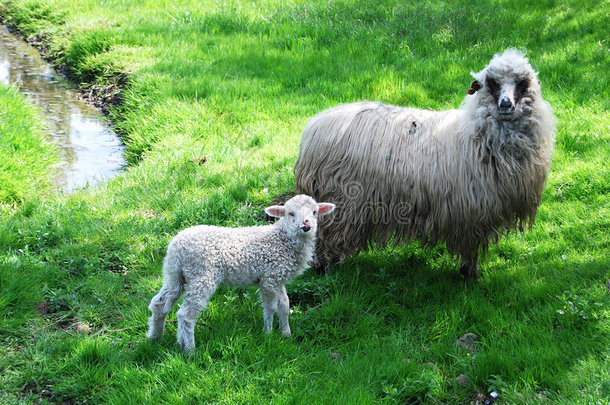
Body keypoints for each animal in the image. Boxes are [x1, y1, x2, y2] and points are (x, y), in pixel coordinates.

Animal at [148, 194, 338, 352]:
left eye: (314, 212)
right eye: (290, 213)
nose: (306, 225)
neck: (282, 238)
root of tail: (176, 245)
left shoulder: (278, 277)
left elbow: (284, 304)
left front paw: (286, 333)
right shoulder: (269, 279)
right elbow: (270, 307)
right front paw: (268, 333)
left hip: (175, 274)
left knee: (160, 303)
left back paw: (156, 337)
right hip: (201, 275)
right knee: (185, 314)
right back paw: (190, 349)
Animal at [292, 49, 552, 278]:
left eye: (523, 83)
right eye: (492, 82)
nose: (506, 104)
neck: (474, 133)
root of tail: (314, 126)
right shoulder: (471, 210)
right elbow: (471, 246)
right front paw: (469, 274)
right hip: (340, 198)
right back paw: (322, 266)